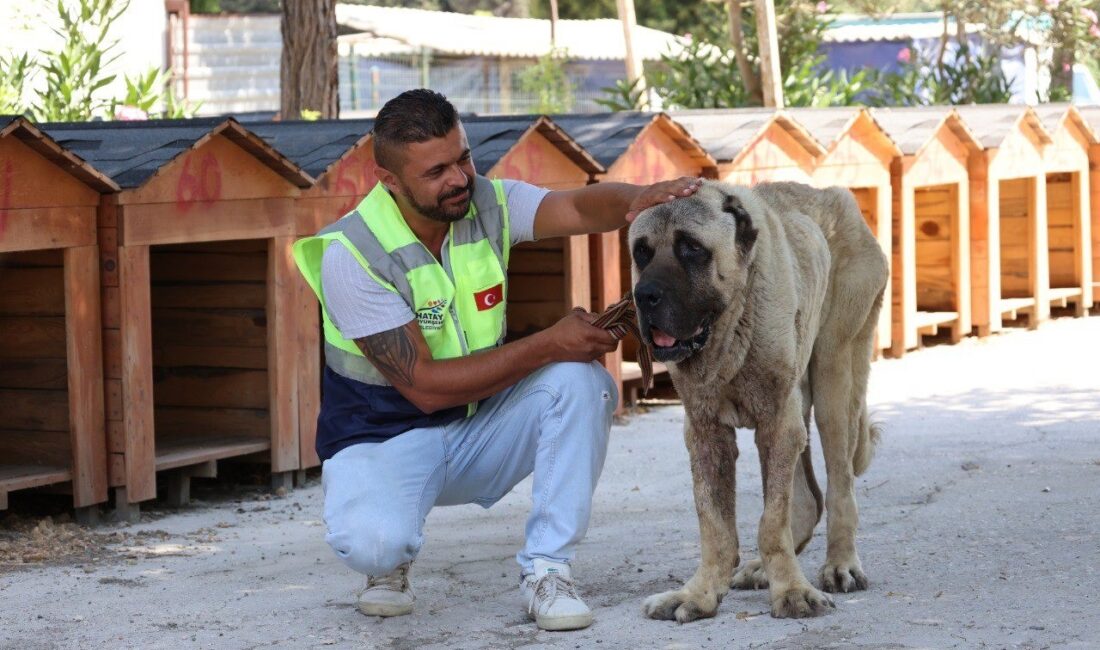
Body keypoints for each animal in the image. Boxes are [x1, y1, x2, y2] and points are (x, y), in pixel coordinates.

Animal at [633, 180, 888, 624]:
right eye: (641, 252)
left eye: (692, 248)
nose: (643, 295)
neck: (731, 326)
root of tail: (837, 196)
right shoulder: (705, 432)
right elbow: (714, 522)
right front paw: (699, 593)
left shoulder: (777, 422)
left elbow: (771, 520)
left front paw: (792, 592)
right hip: (799, 402)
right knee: (808, 497)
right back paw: (761, 569)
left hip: (832, 380)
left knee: (839, 484)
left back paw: (840, 564)